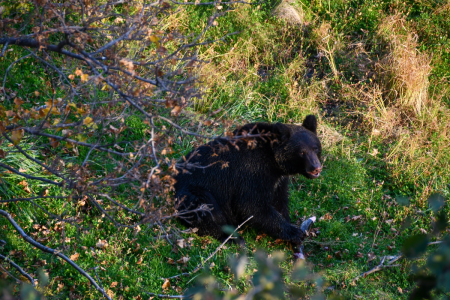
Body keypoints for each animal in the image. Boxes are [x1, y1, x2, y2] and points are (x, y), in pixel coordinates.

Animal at [173, 115, 324, 251]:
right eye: (302, 152)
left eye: (315, 148)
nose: (316, 167)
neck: (274, 163)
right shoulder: (252, 173)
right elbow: (250, 205)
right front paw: (294, 232)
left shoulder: (278, 181)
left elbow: (279, 201)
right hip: (193, 191)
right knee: (205, 208)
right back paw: (233, 238)